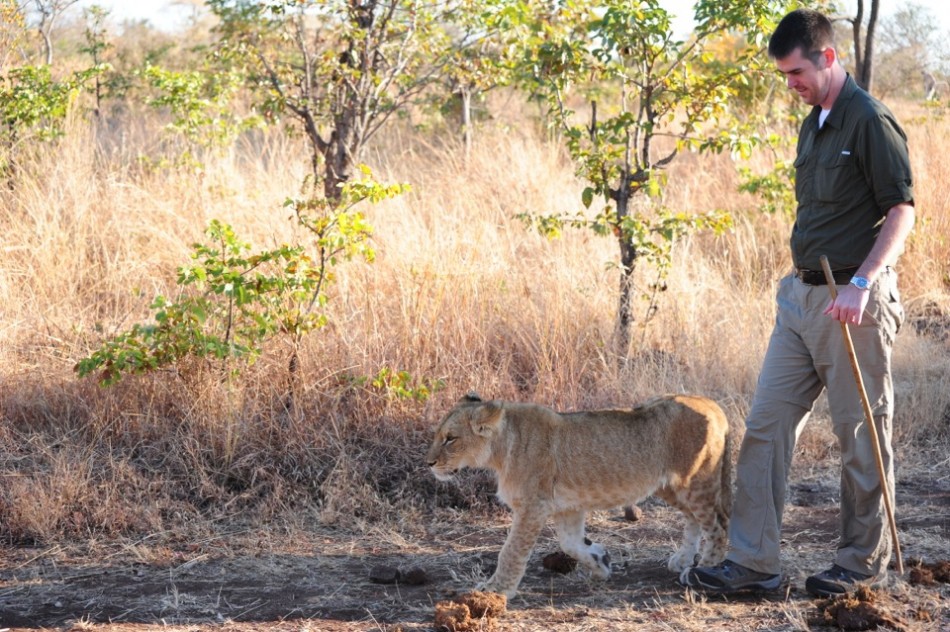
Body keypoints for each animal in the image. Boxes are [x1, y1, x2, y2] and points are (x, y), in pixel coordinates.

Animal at [427, 393, 733, 598]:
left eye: (450, 438)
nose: (429, 463)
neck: (501, 449)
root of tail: (713, 404)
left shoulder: (533, 506)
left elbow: (511, 551)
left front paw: (495, 590)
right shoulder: (568, 507)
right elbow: (570, 543)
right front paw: (601, 563)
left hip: (697, 481)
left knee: (718, 527)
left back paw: (703, 570)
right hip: (671, 487)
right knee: (694, 520)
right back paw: (683, 559)